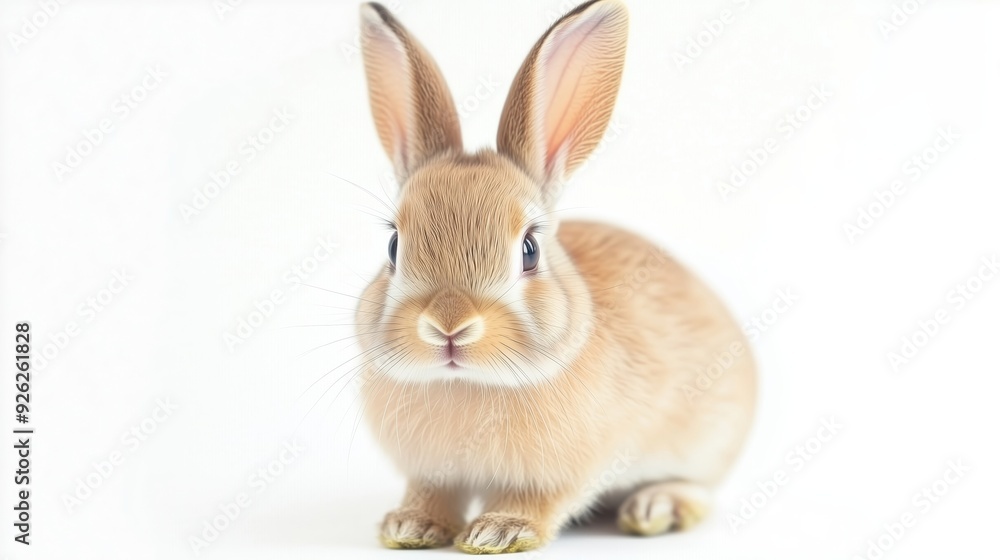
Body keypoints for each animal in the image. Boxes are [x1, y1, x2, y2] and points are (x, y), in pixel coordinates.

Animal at [353, 0, 756, 554]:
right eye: (394, 246)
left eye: (529, 250)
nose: (448, 326)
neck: (469, 383)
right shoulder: (433, 472)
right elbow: (432, 494)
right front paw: (410, 526)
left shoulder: (568, 471)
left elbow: (539, 502)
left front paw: (500, 531)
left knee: (700, 490)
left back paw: (656, 507)